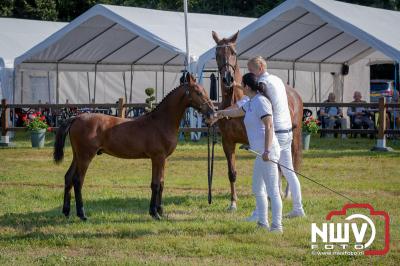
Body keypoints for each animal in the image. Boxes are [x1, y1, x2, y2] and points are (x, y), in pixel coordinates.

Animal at [54, 73, 216, 220]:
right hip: (85, 157)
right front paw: (155, 213)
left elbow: (161, 183)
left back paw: (66, 212)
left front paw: (160, 210)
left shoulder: (163, 159)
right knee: (77, 181)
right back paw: (82, 214)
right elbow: (155, 184)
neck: (161, 122)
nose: (212, 112)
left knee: (68, 177)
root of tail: (76, 118)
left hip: (77, 156)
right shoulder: (157, 157)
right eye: (199, 92)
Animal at [212, 30, 304, 210]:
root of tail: (295, 94)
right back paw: (279, 191)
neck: (236, 101)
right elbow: (232, 172)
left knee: (292, 164)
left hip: (294, 136)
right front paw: (233, 202)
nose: (228, 79)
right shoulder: (228, 142)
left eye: (234, 52)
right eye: (216, 54)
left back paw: (287, 193)